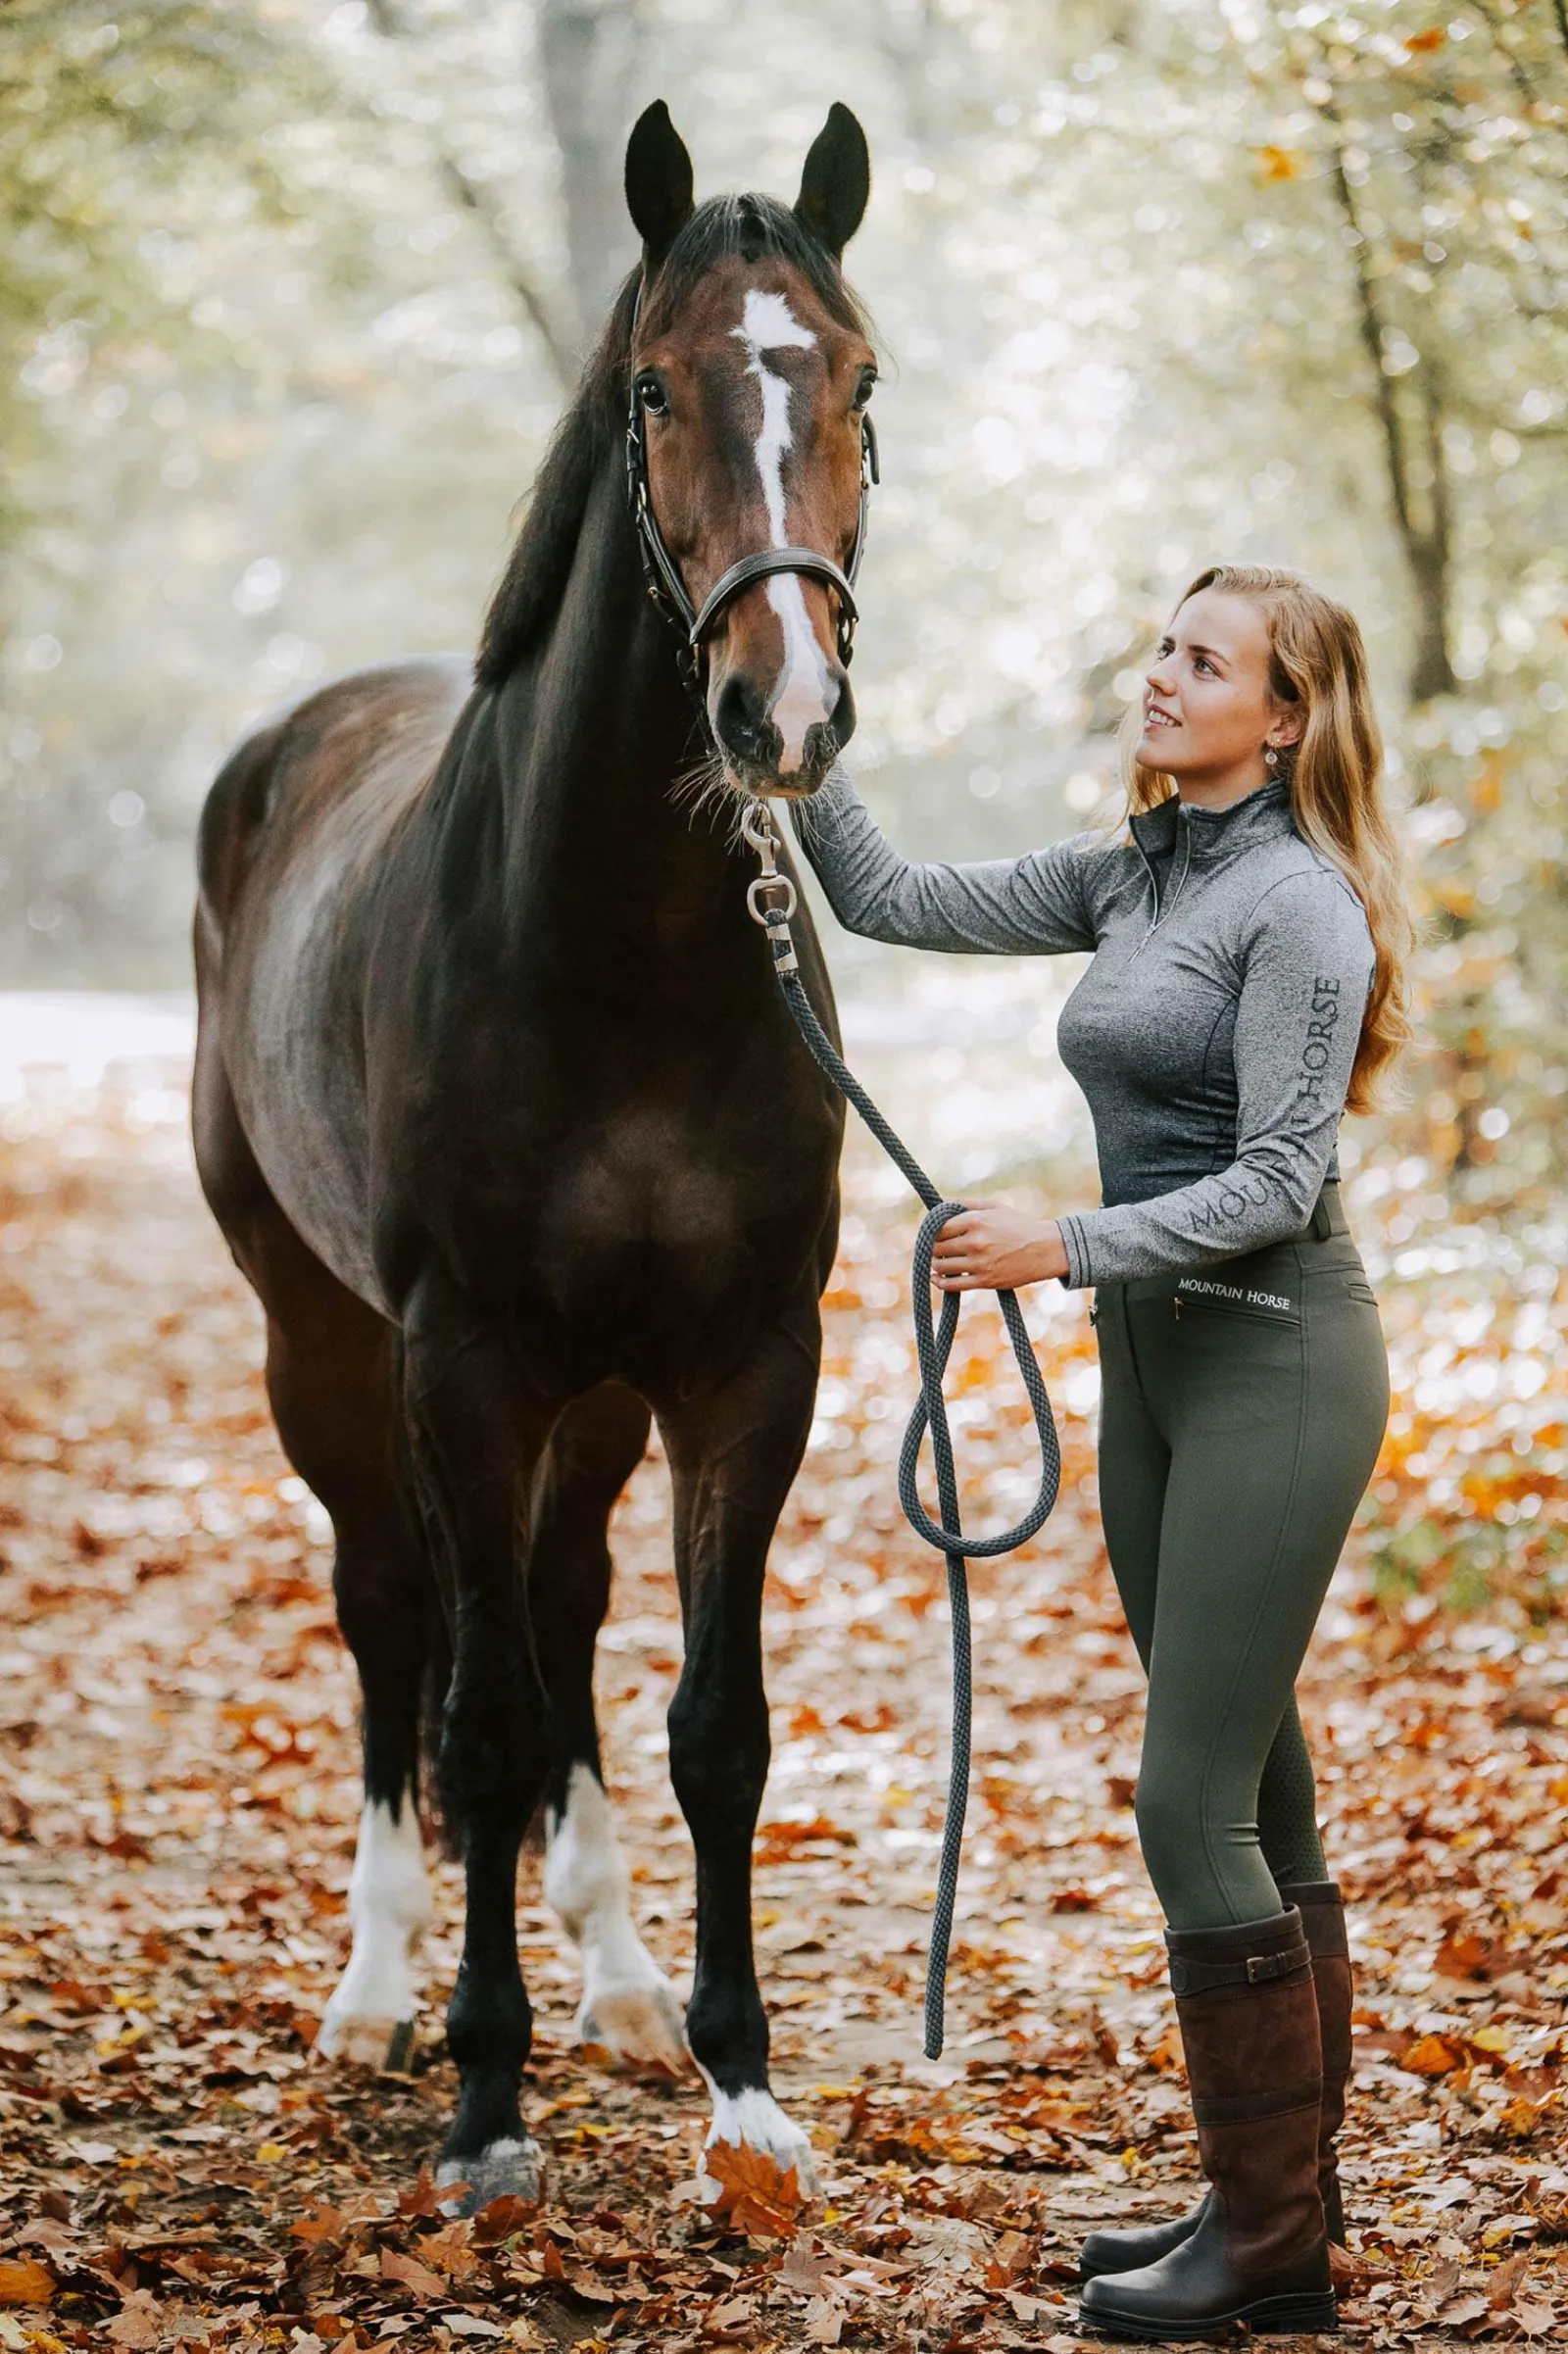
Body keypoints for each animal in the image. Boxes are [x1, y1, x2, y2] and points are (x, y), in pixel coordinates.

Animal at [192, 99, 878, 2210]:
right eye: (654, 389)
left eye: (858, 377)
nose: (780, 710)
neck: (627, 954)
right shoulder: (464, 1361)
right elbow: (478, 1719)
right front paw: (484, 2105)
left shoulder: (744, 1364)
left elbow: (714, 1724)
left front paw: (741, 2086)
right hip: (327, 1352)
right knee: (390, 1623)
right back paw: (377, 1986)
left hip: (601, 1397)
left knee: (565, 1604)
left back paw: (622, 1978)